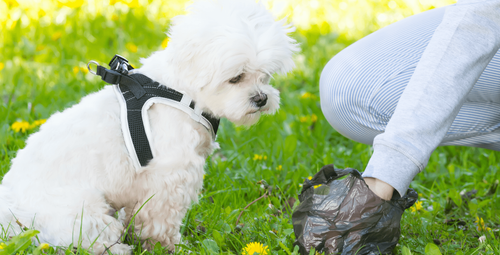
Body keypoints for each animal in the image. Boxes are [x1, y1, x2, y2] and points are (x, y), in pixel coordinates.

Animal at [0, 0, 296, 252]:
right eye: (236, 78)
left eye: (265, 75)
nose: (261, 98)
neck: (180, 92)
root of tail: (12, 209)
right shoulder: (169, 176)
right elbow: (160, 221)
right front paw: (169, 246)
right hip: (83, 214)